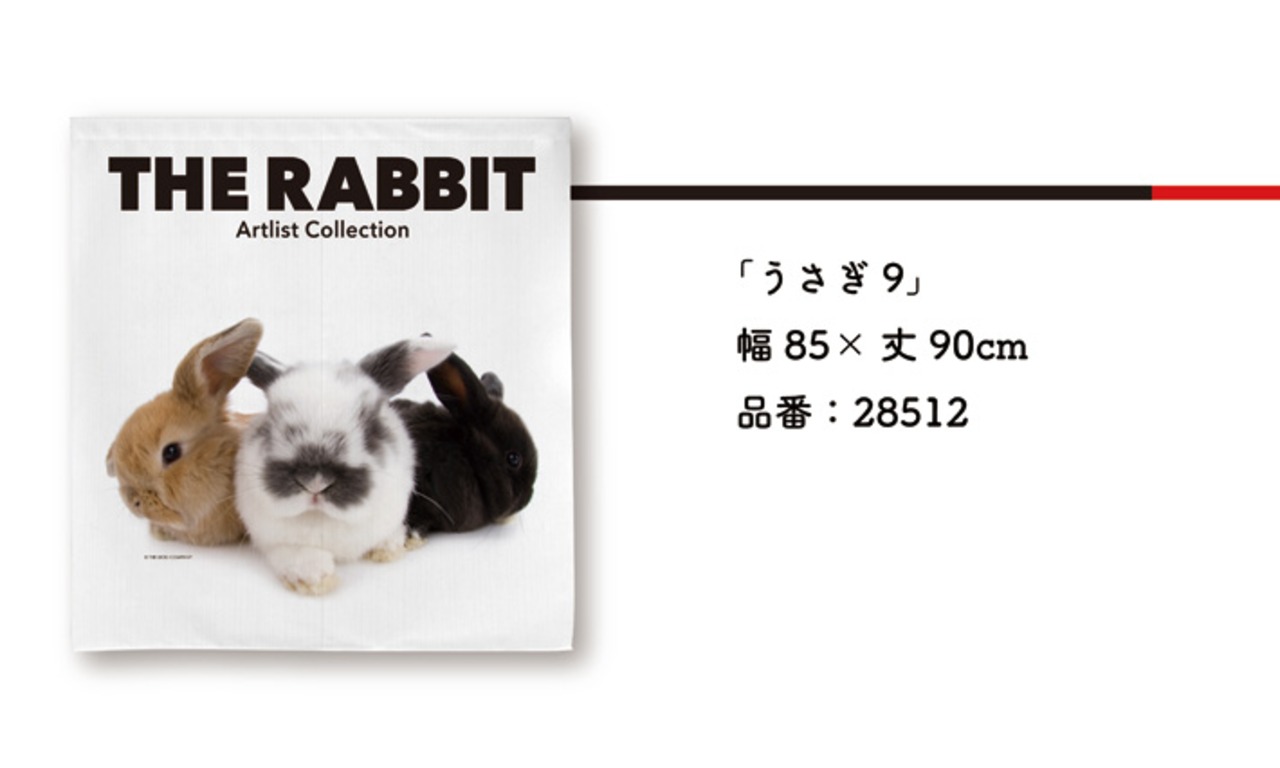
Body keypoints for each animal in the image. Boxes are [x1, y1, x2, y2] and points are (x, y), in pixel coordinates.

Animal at [236, 336, 454, 595]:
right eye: (270, 422)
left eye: (371, 428)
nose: (315, 482)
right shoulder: (275, 540)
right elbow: (296, 554)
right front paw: (314, 577)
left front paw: (388, 547)